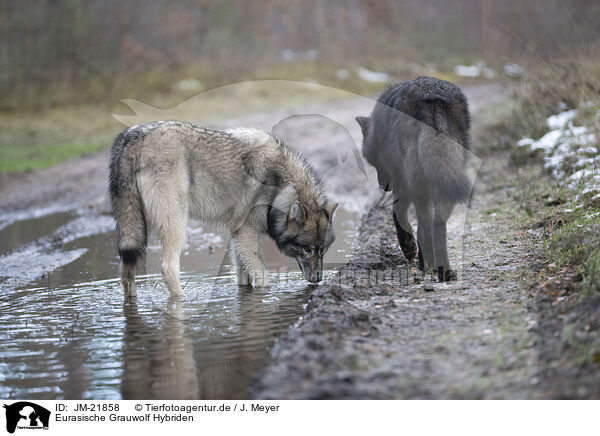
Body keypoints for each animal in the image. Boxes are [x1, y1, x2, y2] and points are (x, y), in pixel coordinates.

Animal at [108, 122, 338, 296]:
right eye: (307, 249)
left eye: (322, 250)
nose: (318, 279)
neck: (280, 183)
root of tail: (132, 137)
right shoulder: (247, 232)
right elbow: (263, 276)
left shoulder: (237, 234)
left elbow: (243, 276)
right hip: (177, 225)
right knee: (167, 268)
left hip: (135, 231)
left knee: (126, 273)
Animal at [354, 76, 472, 282]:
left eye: (373, 161)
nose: (383, 186)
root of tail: (431, 97)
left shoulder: (401, 183)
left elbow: (397, 214)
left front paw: (408, 247)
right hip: (446, 180)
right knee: (436, 224)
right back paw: (443, 270)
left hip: (417, 186)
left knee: (423, 225)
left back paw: (427, 263)